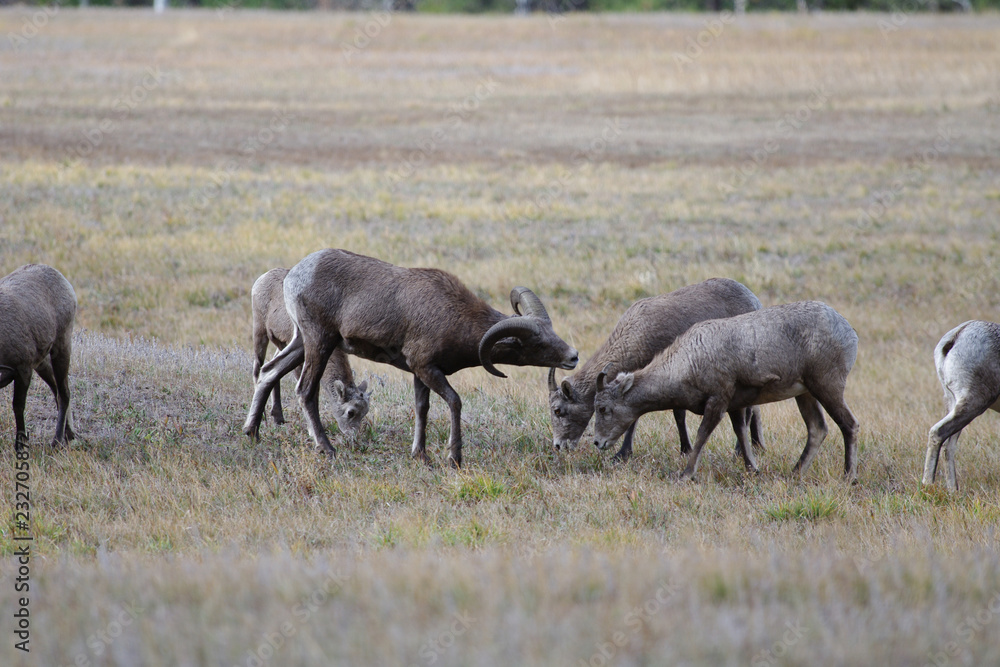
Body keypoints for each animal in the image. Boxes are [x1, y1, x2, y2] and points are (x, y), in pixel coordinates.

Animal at [0, 264, 77, 449]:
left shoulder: (23, 371)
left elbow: (18, 407)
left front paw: (20, 445)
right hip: (42, 364)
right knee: (56, 390)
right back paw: (69, 434)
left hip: (61, 348)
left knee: (64, 393)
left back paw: (57, 441)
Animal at [252, 268, 371, 435]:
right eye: (350, 412)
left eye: (365, 412)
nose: (352, 435)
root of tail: (264, 276)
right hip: (260, 330)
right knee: (258, 368)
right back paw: (263, 417)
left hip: (281, 346)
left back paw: (278, 418)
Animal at [548, 278, 764, 462]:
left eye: (558, 410)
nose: (558, 445)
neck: (636, 337)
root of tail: (755, 301)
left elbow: (674, 414)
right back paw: (757, 445)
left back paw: (739, 451)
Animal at [592, 300, 859, 482]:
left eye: (604, 408)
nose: (597, 442)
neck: (687, 362)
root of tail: (849, 332)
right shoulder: (735, 406)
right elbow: (741, 434)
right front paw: (753, 470)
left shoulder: (718, 401)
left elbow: (701, 437)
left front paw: (685, 474)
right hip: (805, 394)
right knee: (817, 429)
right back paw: (794, 474)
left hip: (826, 387)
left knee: (849, 425)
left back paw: (848, 478)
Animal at [923, 320, 1000, 491]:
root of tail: (957, 335)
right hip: (973, 404)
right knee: (938, 433)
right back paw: (928, 485)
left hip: (954, 403)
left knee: (948, 446)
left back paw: (953, 490)